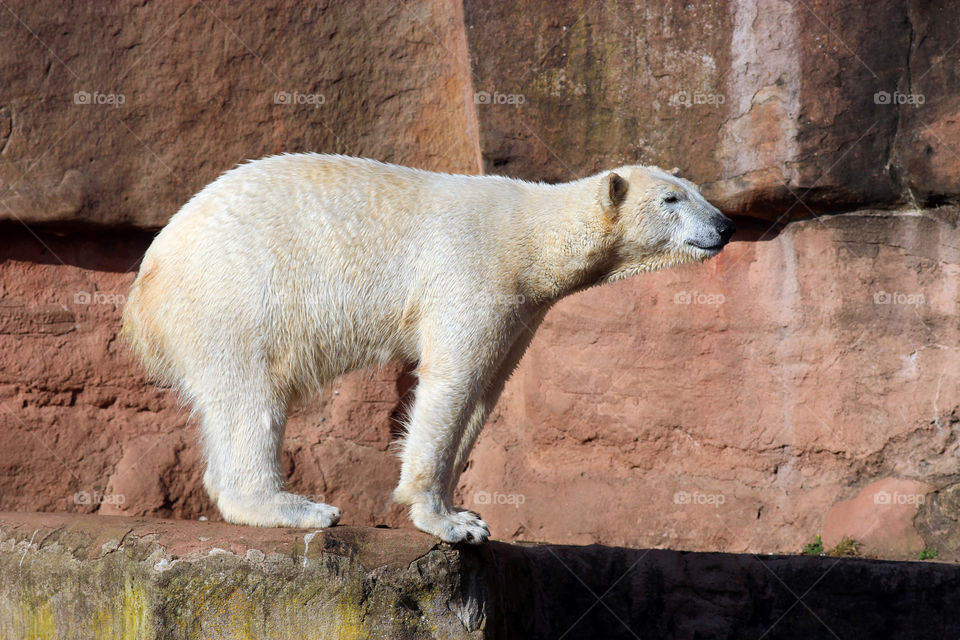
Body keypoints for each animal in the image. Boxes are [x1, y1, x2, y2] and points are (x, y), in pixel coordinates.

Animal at [121, 153, 734, 543]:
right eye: (672, 198)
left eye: (698, 193)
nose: (725, 226)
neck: (529, 233)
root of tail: (144, 290)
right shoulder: (474, 270)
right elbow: (451, 380)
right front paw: (450, 523)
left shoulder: (521, 308)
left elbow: (486, 390)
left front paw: (464, 509)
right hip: (236, 299)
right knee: (251, 396)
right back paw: (297, 507)